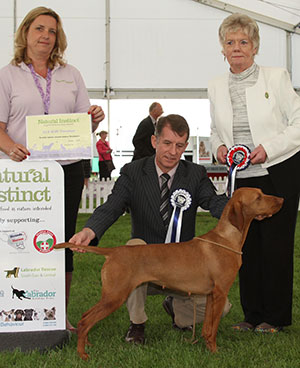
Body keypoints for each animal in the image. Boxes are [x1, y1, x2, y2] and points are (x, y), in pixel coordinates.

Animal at [54, 188, 284, 360]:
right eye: (259, 197)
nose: (282, 199)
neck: (226, 239)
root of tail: (113, 251)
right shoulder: (221, 292)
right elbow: (214, 329)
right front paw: (216, 352)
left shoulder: (212, 295)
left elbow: (207, 328)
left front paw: (206, 348)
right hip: (115, 295)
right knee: (85, 320)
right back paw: (82, 354)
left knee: (85, 317)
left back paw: (87, 344)